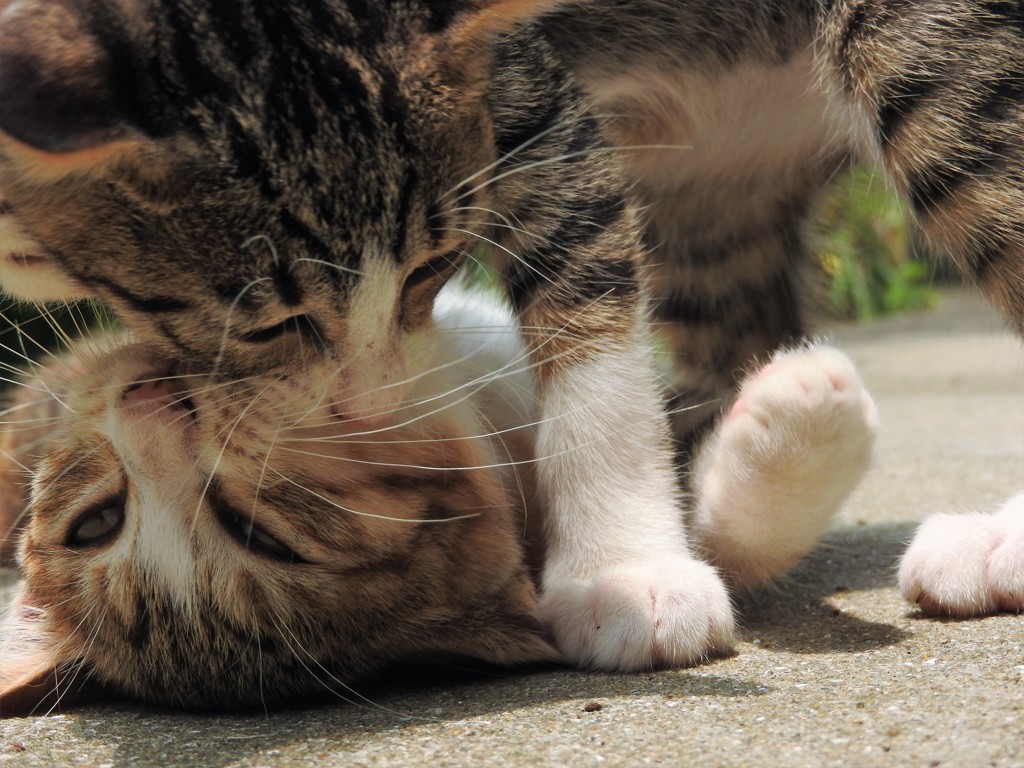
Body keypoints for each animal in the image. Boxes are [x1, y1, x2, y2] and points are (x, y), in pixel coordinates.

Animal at [0, 0, 1024, 704]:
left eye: (432, 267)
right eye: (97, 522)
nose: (368, 405)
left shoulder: (523, 101)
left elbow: (587, 297)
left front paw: (622, 567)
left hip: (931, 63)